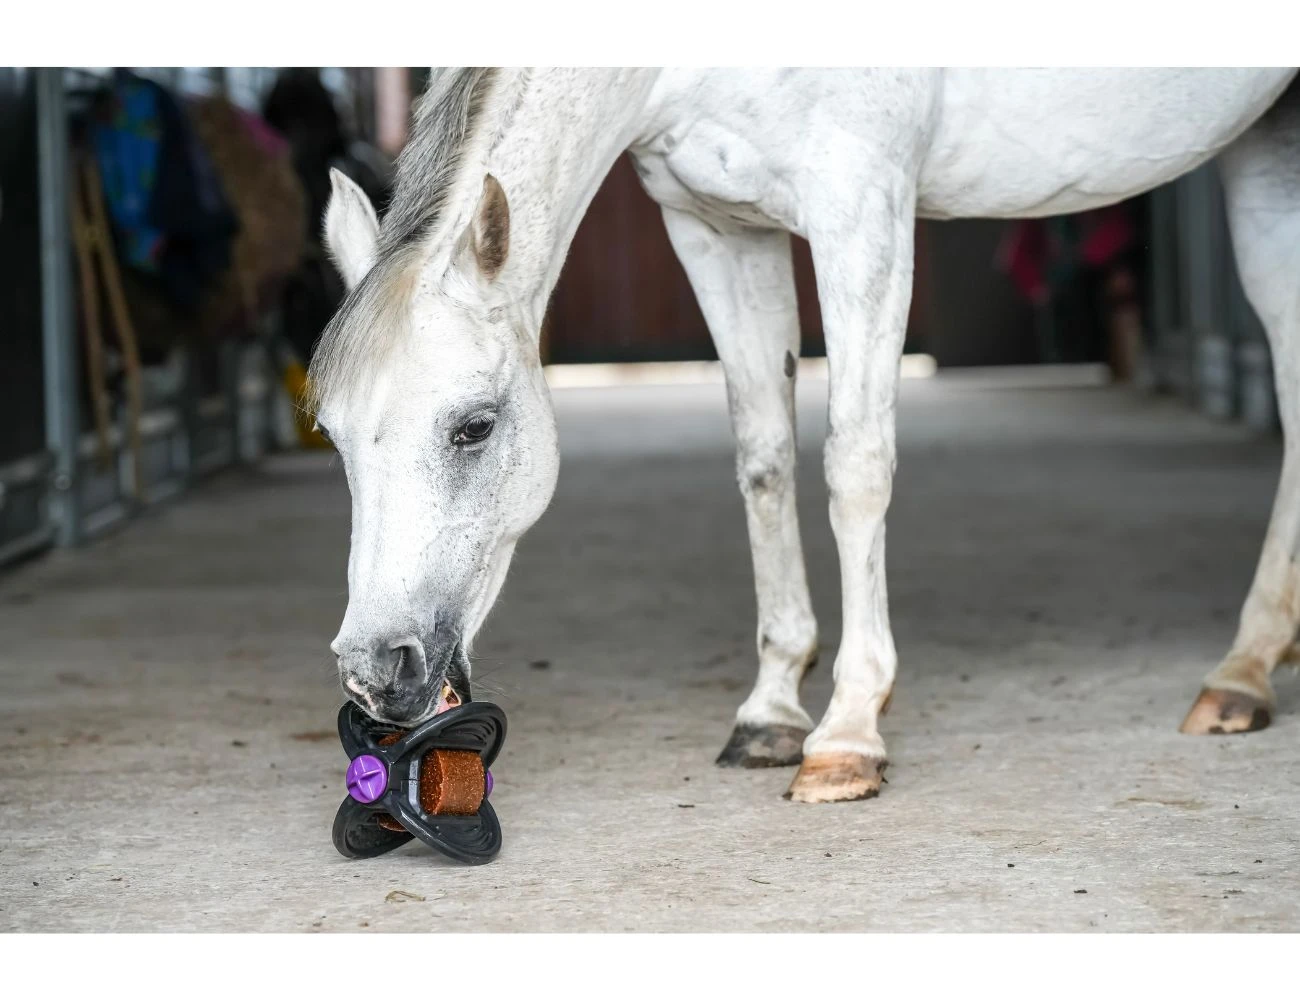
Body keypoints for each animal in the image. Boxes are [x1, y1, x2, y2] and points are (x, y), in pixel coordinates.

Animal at [309, 68, 1300, 805]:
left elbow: (855, 463)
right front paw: (772, 712)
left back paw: (1241, 669)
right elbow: (765, 459)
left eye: (474, 426)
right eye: (333, 434)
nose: (375, 672)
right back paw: (1250, 669)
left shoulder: (862, 213)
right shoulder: (716, 228)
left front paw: (848, 733)